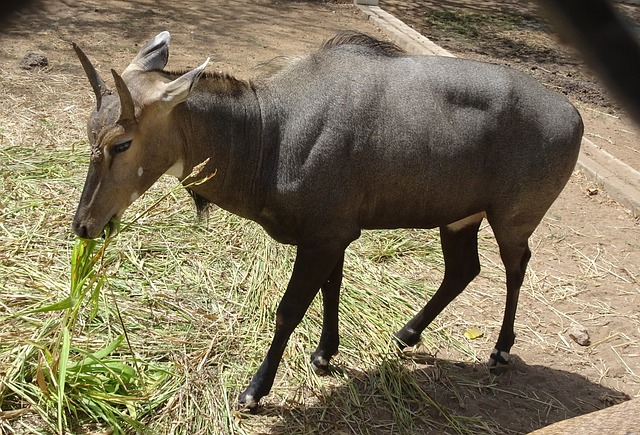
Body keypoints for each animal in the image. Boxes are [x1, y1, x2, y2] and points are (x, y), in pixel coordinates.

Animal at [72, 31, 584, 412]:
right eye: (90, 132)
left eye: (122, 143)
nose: (84, 226)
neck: (270, 133)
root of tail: (573, 114)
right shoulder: (334, 234)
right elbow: (332, 287)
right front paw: (324, 354)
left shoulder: (323, 237)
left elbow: (289, 309)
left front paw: (254, 392)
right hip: (459, 218)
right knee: (463, 269)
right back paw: (406, 334)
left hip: (513, 218)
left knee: (516, 267)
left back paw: (499, 351)